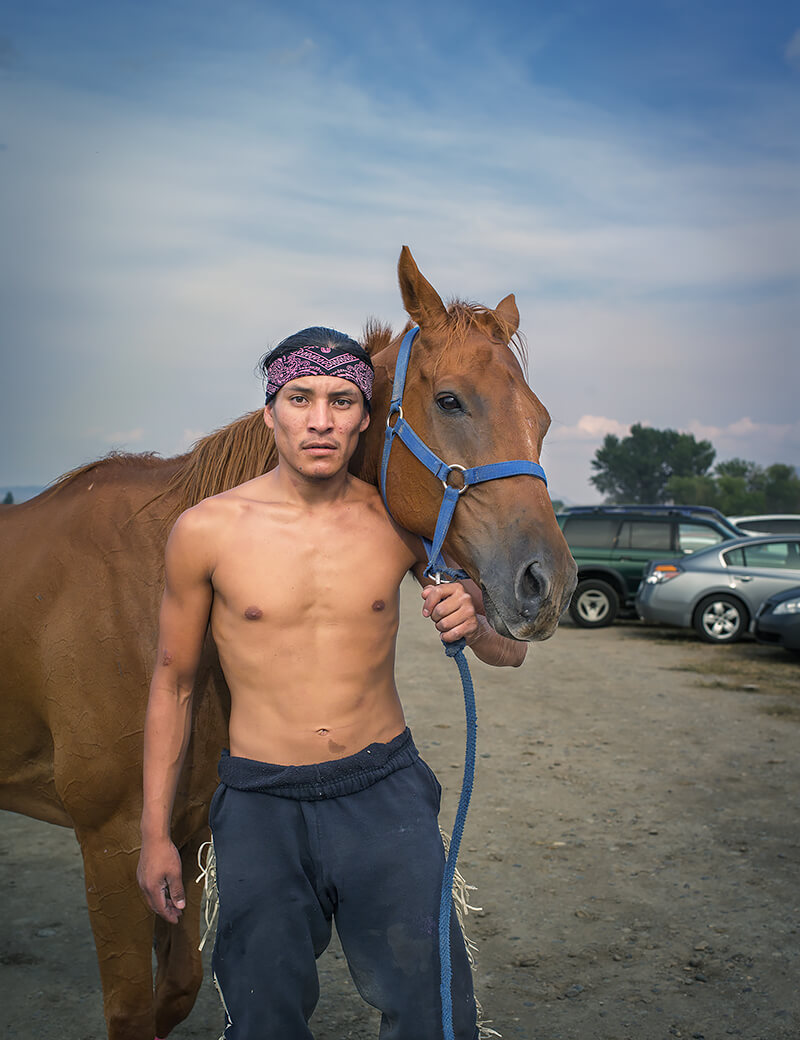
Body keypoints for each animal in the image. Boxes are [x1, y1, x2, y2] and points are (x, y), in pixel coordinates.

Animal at [0, 247, 574, 1035]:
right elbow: (133, 1009)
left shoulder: (183, 834)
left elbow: (177, 989)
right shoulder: (114, 844)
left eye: (541, 419)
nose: (547, 584)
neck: (144, 584)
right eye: (452, 400)